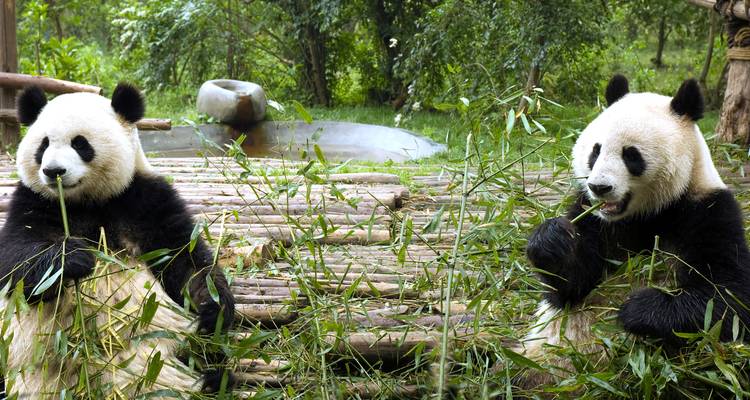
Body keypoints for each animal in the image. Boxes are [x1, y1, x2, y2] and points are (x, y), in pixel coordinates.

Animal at [0, 84, 236, 398]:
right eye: (43, 145)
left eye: (80, 144)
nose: (53, 172)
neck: (86, 202)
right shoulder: (33, 201)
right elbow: (14, 259)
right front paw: (74, 257)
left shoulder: (145, 200)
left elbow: (184, 258)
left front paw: (212, 306)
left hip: (179, 346)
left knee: (203, 352)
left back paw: (213, 379)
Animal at [519, 75, 750, 387]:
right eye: (595, 151)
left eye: (631, 155)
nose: (599, 187)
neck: (646, 214)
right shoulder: (593, 218)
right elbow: (571, 287)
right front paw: (552, 240)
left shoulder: (708, 211)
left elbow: (728, 300)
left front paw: (637, 308)